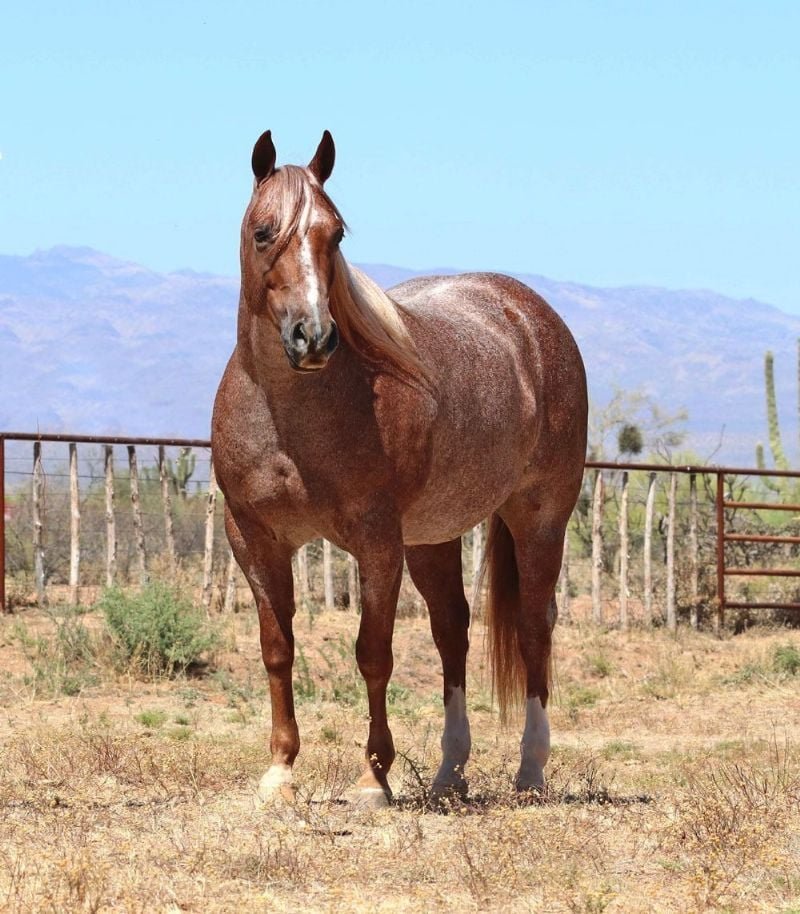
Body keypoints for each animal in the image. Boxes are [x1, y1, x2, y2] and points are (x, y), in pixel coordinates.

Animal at [211, 130, 588, 807]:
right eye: (263, 230)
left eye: (335, 233)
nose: (314, 337)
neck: (291, 415)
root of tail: (530, 316)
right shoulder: (253, 537)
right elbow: (277, 650)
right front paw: (279, 772)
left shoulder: (377, 542)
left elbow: (373, 653)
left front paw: (372, 778)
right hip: (432, 539)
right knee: (452, 630)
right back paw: (449, 773)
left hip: (539, 518)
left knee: (533, 627)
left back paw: (530, 770)